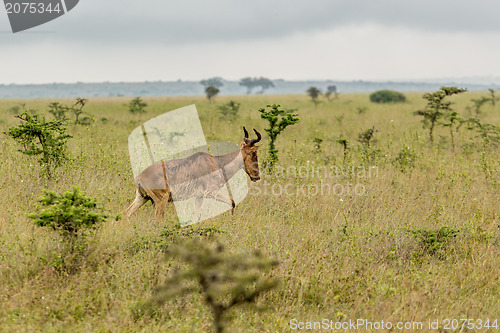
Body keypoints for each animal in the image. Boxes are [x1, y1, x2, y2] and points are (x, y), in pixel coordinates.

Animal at [124, 127, 262, 218]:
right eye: (254, 153)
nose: (256, 176)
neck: (217, 163)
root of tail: (140, 177)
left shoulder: (199, 196)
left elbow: (198, 214)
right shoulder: (211, 192)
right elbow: (232, 203)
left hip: (141, 198)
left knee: (126, 214)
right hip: (160, 200)